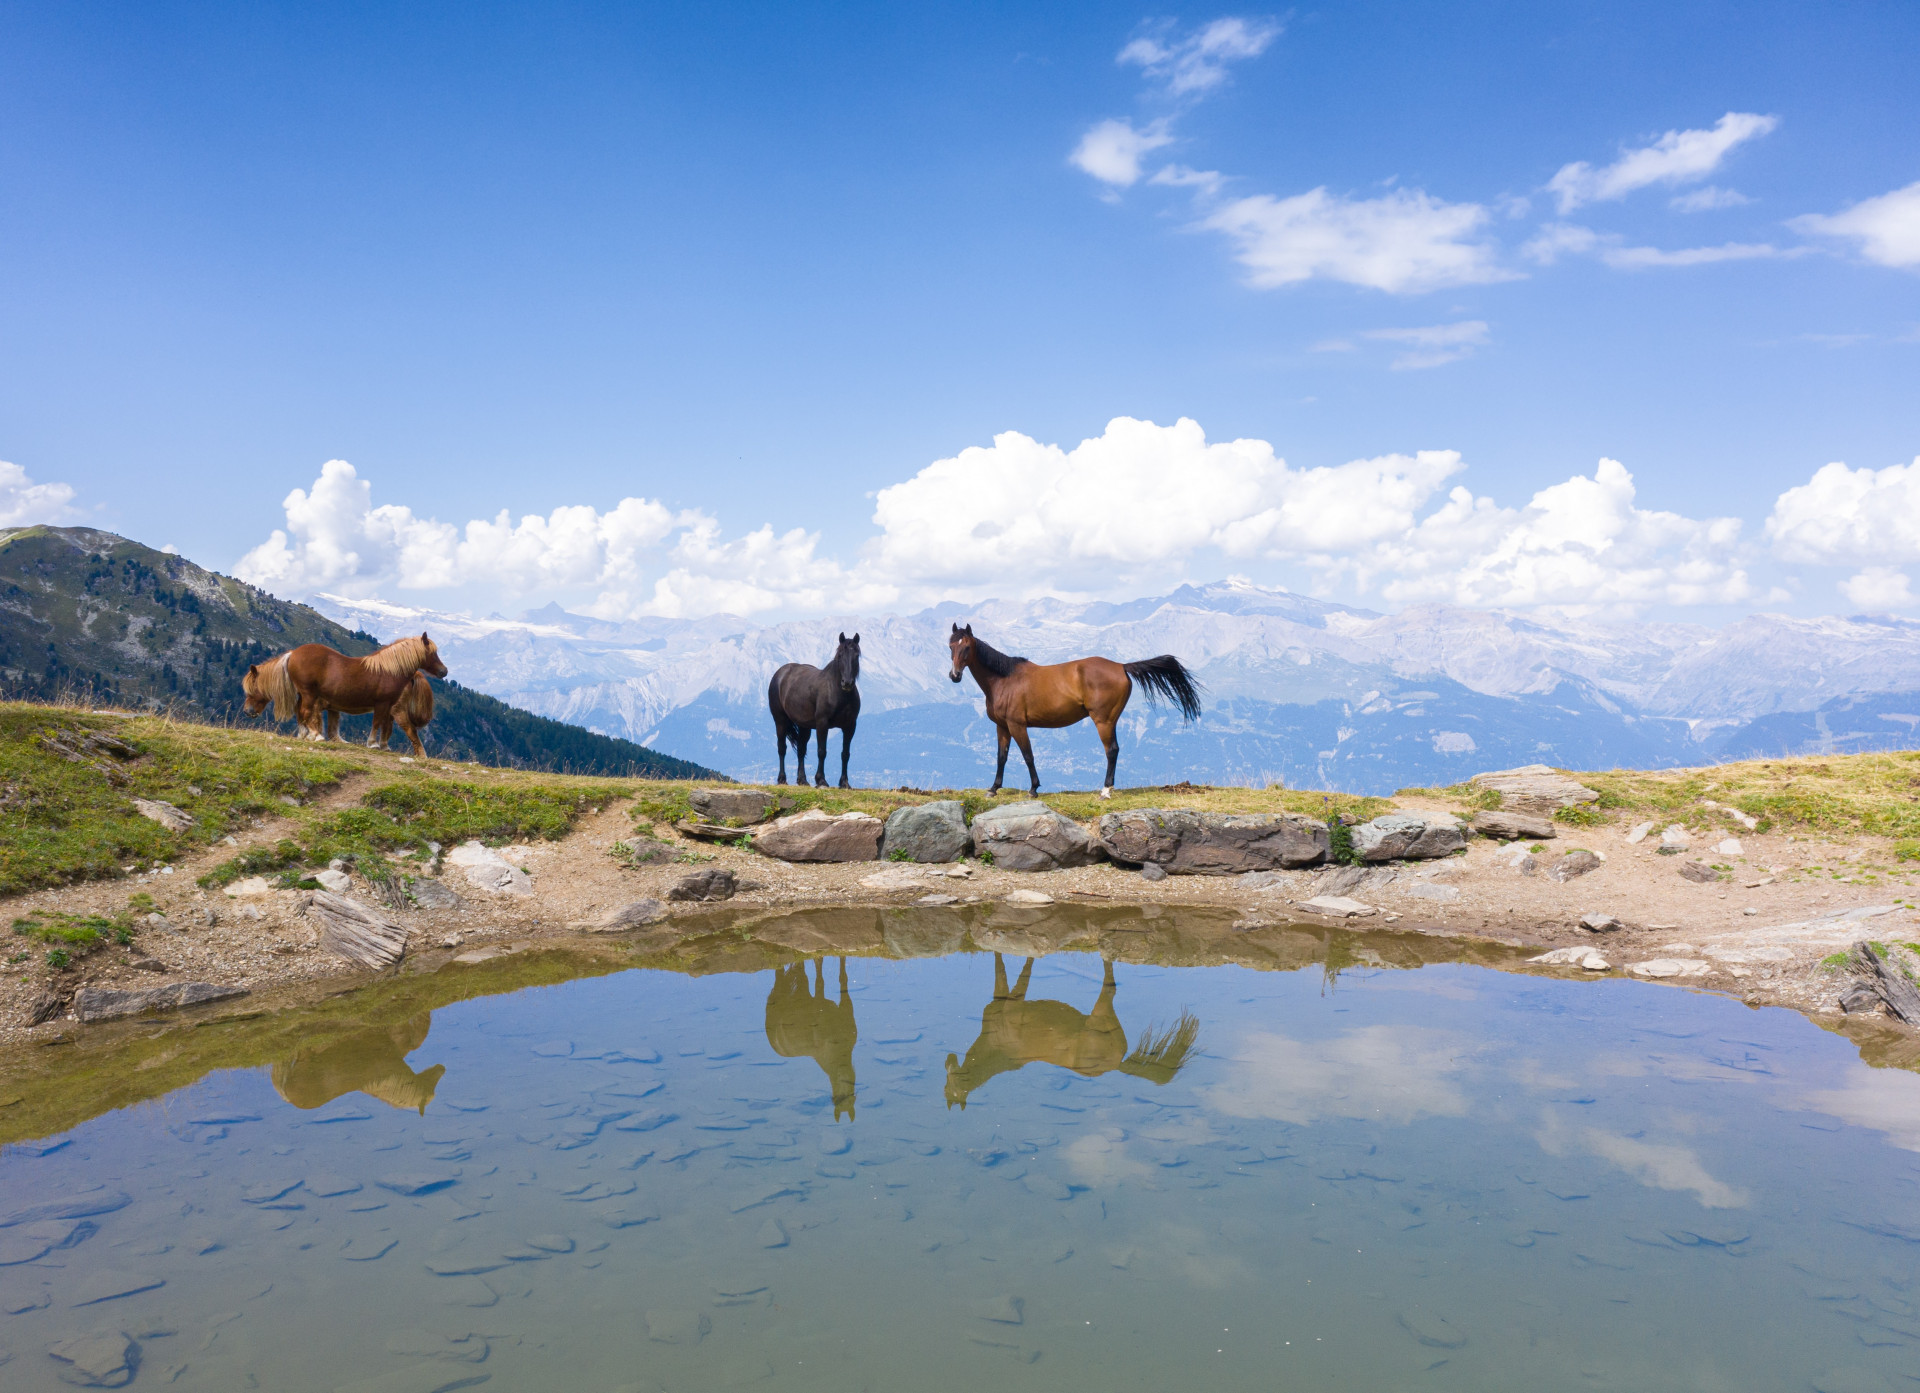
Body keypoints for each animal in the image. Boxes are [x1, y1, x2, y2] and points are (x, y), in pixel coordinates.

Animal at [243, 634, 448, 750]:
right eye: (432, 653)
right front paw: (373, 744)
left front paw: (383, 746)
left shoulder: (389, 705)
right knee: (304, 712)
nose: (444, 671)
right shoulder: (381, 703)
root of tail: (293, 653)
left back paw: (306, 735)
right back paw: (315, 736)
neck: (389, 670)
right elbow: (377, 723)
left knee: (301, 712)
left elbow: (385, 727)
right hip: (308, 693)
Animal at [768, 632, 861, 788]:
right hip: (780, 721)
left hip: (804, 726)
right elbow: (822, 751)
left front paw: (844, 783)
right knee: (782, 748)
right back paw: (782, 779)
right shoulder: (822, 723)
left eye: (857, 655)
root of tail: (780, 674)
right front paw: (821, 780)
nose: (847, 683)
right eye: (840, 655)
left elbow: (845, 754)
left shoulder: (850, 726)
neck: (837, 692)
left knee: (801, 750)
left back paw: (802, 780)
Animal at [943, 954, 1199, 1109]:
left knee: (1109, 984)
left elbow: (1017, 969)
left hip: (1100, 1012)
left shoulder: (1013, 1002)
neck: (998, 1046)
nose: (948, 1061)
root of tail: (1117, 1063)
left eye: (951, 1086)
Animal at [946, 622, 1202, 798]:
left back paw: (1105, 791)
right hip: (1110, 720)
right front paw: (993, 788)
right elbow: (1002, 756)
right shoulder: (1002, 726)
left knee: (1112, 750)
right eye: (950, 645)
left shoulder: (1017, 725)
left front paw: (1033, 789)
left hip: (1103, 721)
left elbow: (1028, 755)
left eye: (967, 647)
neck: (1004, 679)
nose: (954, 676)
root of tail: (1121, 666)